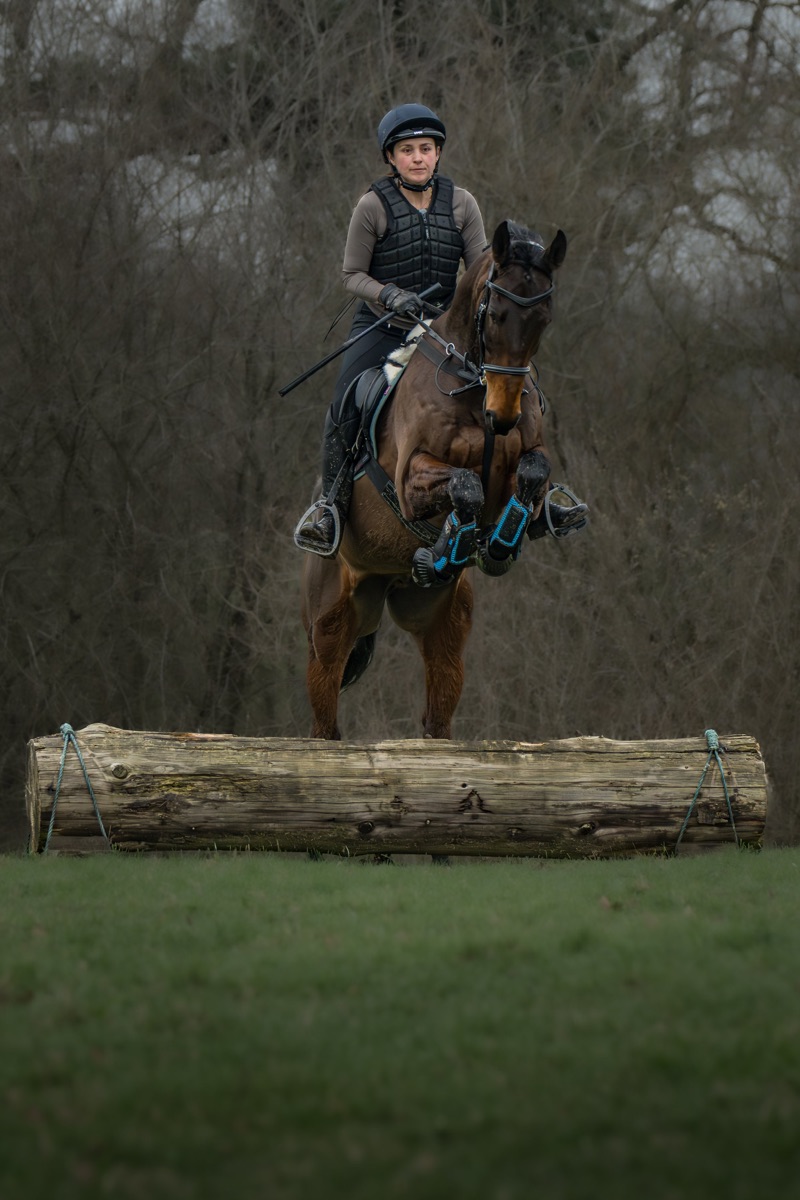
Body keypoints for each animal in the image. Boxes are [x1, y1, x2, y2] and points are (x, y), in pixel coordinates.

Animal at [301, 219, 571, 740]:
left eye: (544, 320)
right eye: (496, 315)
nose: (503, 416)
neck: (473, 385)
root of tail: (385, 583)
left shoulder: (526, 461)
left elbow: (531, 474)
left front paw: (495, 544)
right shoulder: (410, 481)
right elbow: (466, 484)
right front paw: (455, 542)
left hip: (443, 627)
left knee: (437, 715)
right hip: (329, 625)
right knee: (325, 719)